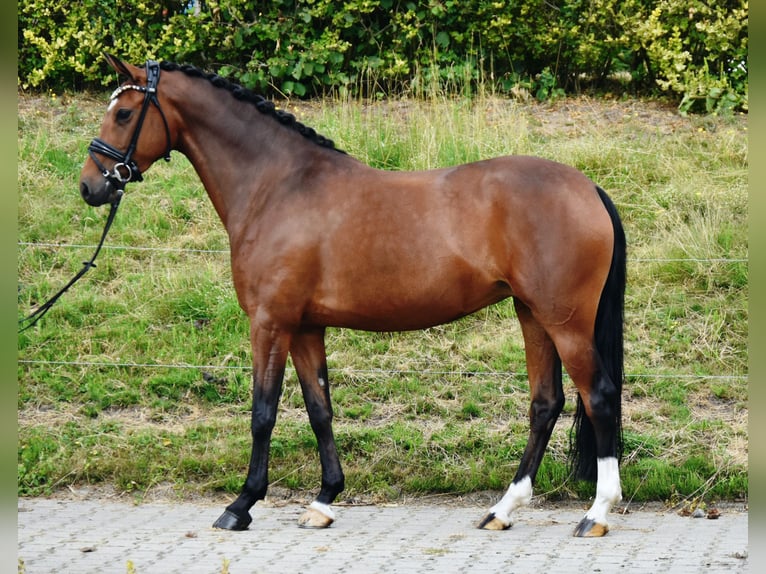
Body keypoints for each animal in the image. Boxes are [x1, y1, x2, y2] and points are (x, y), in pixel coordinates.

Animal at [79, 55, 626, 537]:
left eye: (124, 113)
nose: (89, 187)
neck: (279, 187)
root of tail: (588, 189)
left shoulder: (270, 322)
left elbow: (263, 412)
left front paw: (242, 505)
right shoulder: (305, 327)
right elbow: (319, 409)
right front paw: (324, 501)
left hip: (564, 321)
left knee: (598, 395)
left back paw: (596, 514)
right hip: (531, 314)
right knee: (545, 404)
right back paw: (501, 510)